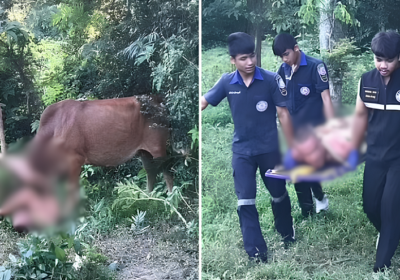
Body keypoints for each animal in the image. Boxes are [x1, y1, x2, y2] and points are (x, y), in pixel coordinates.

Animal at [0, 95, 172, 231]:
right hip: (144, 152)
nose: (19, 226)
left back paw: (171, 199)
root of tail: (159, 101)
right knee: (151, 172)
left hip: (158, 147)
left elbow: (72, 191)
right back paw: (147, 198)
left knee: (167, 172)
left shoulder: (75, 160)